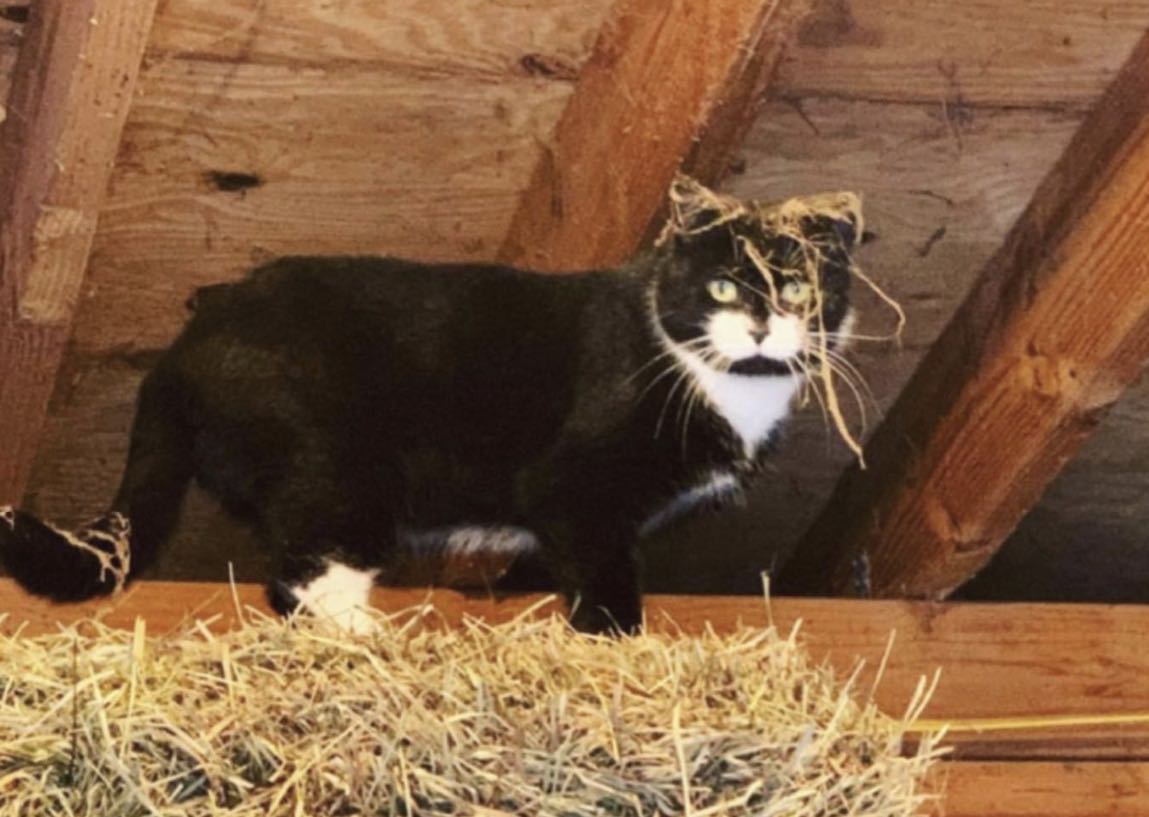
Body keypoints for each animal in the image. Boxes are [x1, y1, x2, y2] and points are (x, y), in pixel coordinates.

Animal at [0, 179, 864, 634]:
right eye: (720, 285)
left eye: (796, 289)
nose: (762, 322)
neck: (728, 386)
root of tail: (179, 350)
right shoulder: (575, 489)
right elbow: (609, 579)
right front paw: (615, 638)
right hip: (338, 468)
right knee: (301, 579)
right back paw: (372, 640)